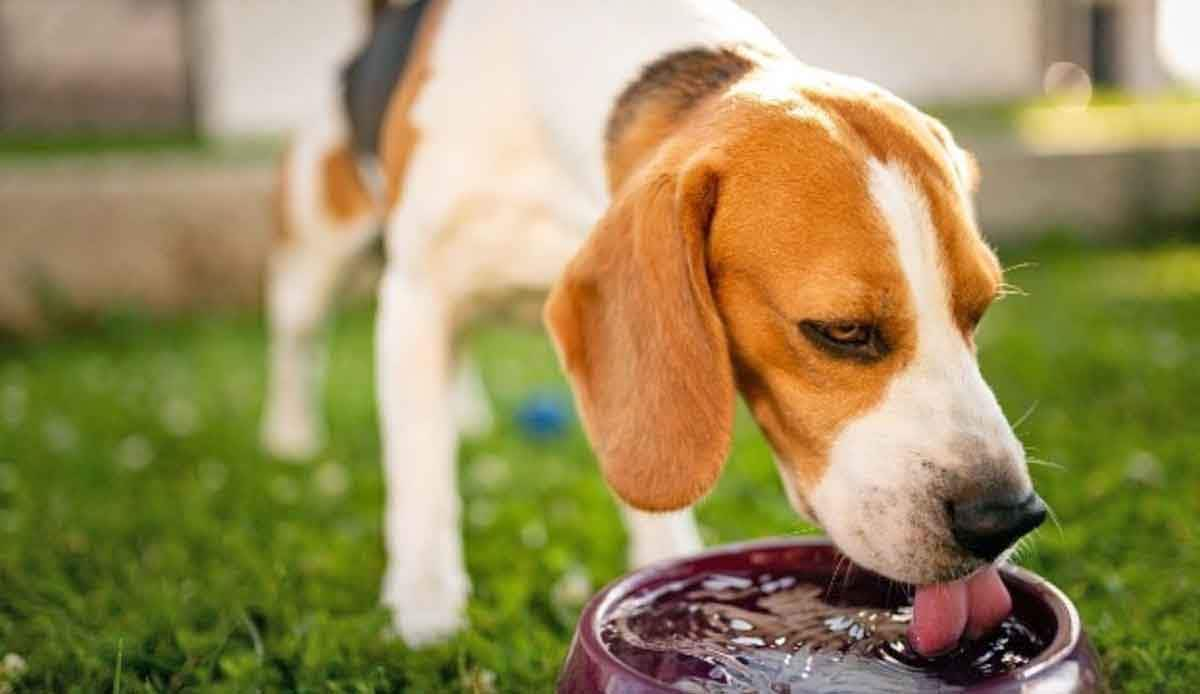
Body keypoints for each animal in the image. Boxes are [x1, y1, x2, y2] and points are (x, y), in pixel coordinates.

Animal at [260, 0, 1041, 653]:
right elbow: (422, 475)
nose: (1006, 518)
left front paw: (665, 569)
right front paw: (425, 610)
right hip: (322, 248)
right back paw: (291, 436)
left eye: (979, 311)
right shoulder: (417, 296)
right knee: (298, 336)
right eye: (841, 331)